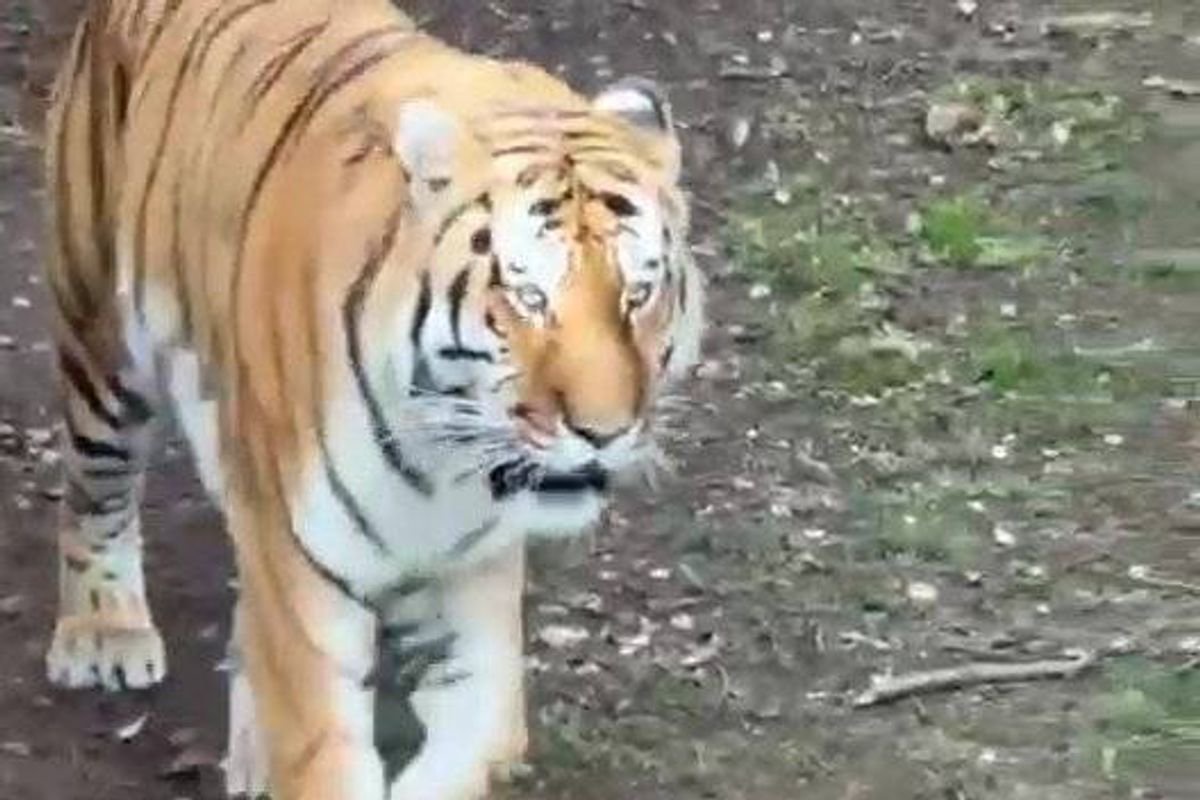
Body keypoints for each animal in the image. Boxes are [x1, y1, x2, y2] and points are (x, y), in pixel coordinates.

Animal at [39, 0, 704, 797]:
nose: (602, 432)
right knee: (96, 490)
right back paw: (104, 632)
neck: (441, 463)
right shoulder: (301, 582)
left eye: (639, 294)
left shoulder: (471, 600)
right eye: (528, 297)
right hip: (101, 339)